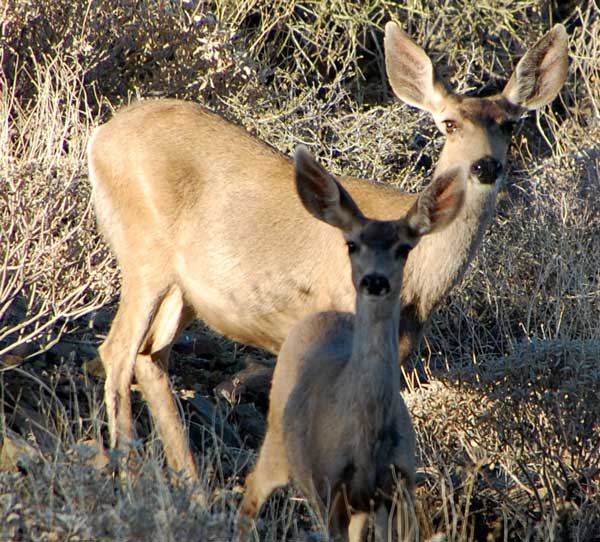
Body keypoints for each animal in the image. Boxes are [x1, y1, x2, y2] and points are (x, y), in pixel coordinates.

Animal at [88, 23, 568, 478]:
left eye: (509, 124)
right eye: (449, 124)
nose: (485, 166)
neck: (418, 285)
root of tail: (100, 138)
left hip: (184, 290)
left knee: (151, 356)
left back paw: (193, 487)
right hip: (143, 253)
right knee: (117, 351)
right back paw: (129, 474)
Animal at [239, 147, 464, 540]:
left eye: (404, 248)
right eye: (352, 244)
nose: (374, 280)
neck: (365, 440)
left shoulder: (397, 487)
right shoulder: (329, 485)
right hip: (279, 440)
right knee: (252, 491)